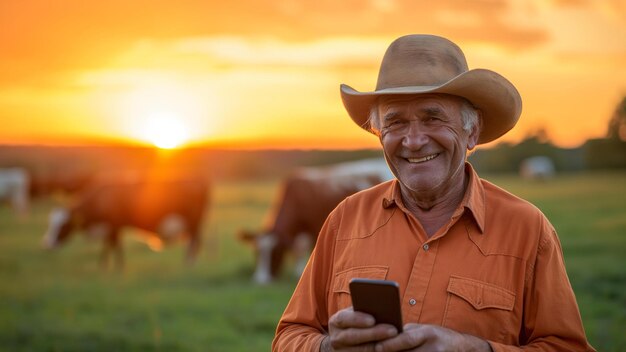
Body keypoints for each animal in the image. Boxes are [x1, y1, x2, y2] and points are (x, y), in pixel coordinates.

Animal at [43, 175, 212, 268]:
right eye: (51, 224)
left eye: (62, 226)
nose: (48, 244)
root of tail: (200, 182)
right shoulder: (111, 227)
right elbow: (110, 246)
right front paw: (104, 267)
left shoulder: (114, 225)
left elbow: (114, 246)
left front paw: (115, 268)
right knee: (194, 242)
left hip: (193, 222)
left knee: (194, 242)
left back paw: (189, 263)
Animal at [238, 158, 390, 284]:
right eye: (256, 253)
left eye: (276, 253)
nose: (261, 280)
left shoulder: (309, 229)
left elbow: (301, 249)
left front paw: (299, 272)